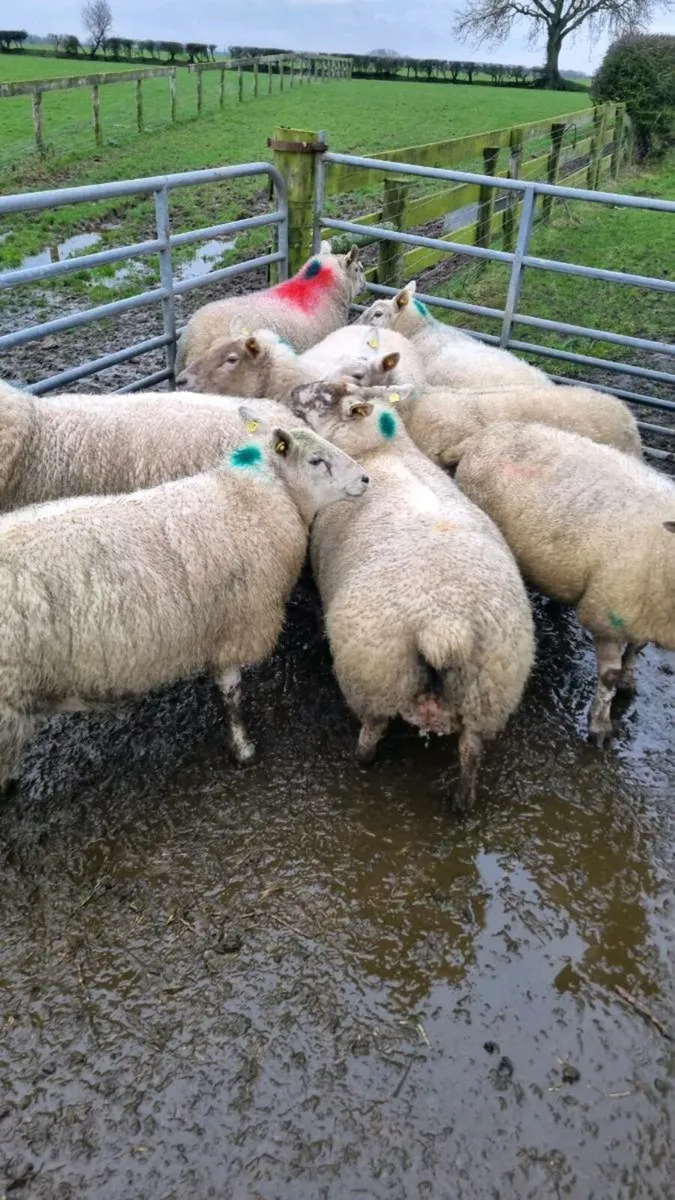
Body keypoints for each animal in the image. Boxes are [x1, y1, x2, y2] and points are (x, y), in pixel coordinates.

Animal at [0, 413, 369, 790]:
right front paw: (243, 749)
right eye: (316, 461)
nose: (366, 478)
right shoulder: (236, 626)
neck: (255, 496)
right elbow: (232, 696)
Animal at [287, 379, 535, 812]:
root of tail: (445, 626)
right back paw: (461, 803)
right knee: (470, 751)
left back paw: (361, 760)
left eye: (323, 396)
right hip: (486, 694)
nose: (290, 391)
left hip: (375, 677)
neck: (384, 450)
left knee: (372, 732)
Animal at [454, 420, 675, 745]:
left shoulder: (644, 611)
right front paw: (599, 726)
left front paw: (628, 682)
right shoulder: (607, 614)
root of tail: (490, 431)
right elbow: (608, 678)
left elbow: (636, 650)